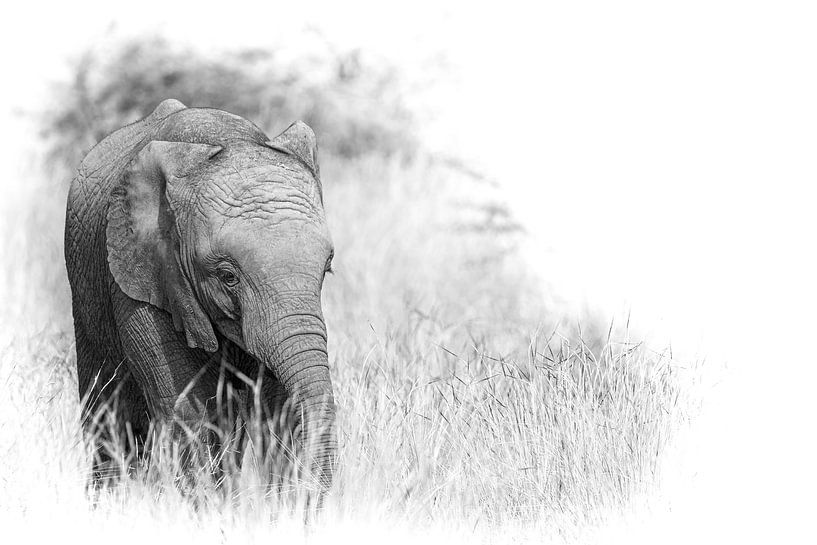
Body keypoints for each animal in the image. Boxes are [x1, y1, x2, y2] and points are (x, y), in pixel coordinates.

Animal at [64, 99, 337, 491]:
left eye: (327, 268)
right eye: (227, 277)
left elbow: (281, 409)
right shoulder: (145, 276)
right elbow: (189, 414)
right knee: (111, 417)